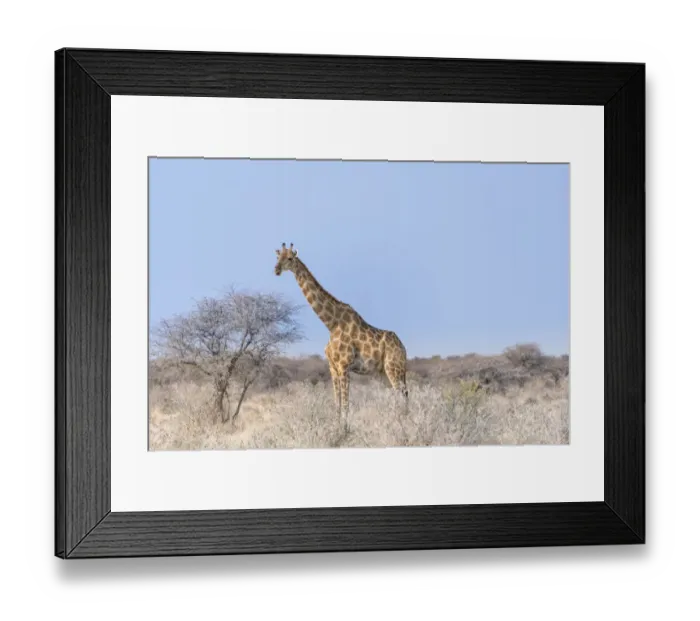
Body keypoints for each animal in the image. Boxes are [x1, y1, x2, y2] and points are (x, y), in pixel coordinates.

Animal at [274, 242, 408, 417]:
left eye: (290, 258)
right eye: (278, 257)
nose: (276, 269)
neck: (331, 324)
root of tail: (404, 349)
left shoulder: (344, 366)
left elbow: (345, 407)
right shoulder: (332, 367)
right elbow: (337, 406)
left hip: (393, 368)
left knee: (402, 394)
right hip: (384, 372)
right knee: (400, 394)